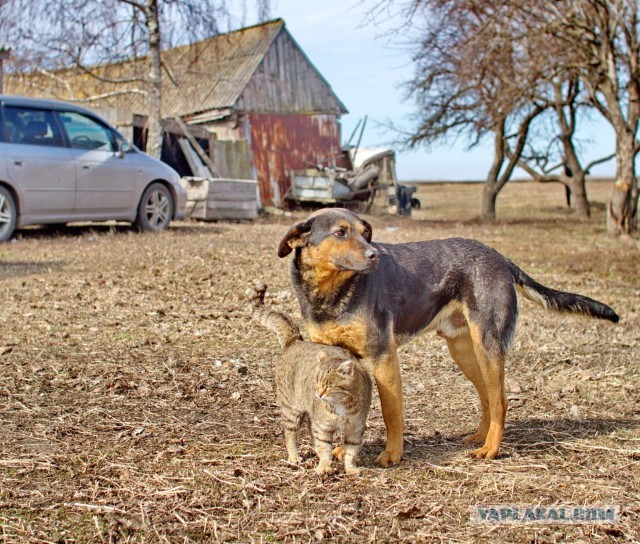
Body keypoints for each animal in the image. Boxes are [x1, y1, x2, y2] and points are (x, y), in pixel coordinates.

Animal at [248, 284, 372, 476]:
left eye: (328, 386)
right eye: (317, 383)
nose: (318, 394)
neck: (342, 405)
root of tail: (295, 341)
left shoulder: (356, 428)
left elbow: (351, 451)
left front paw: (350, 469)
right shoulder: (323, 427)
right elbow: (325, 447)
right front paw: (324, 466)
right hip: (291, 409)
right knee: (290, 433)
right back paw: (294, 457)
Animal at [278, 210, 616, 466]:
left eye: (366, 233)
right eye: (340, 233)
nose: (375, 257)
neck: (330, 292)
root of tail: (501, 259)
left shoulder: (383, 356)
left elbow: (391, 412)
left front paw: (392, 454)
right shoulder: (335, 356)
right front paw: (338, 448)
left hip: (488, 344)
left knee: (500, 399)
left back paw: (490, 448)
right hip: (464, 351)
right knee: (487, 396)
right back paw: (481, 436)